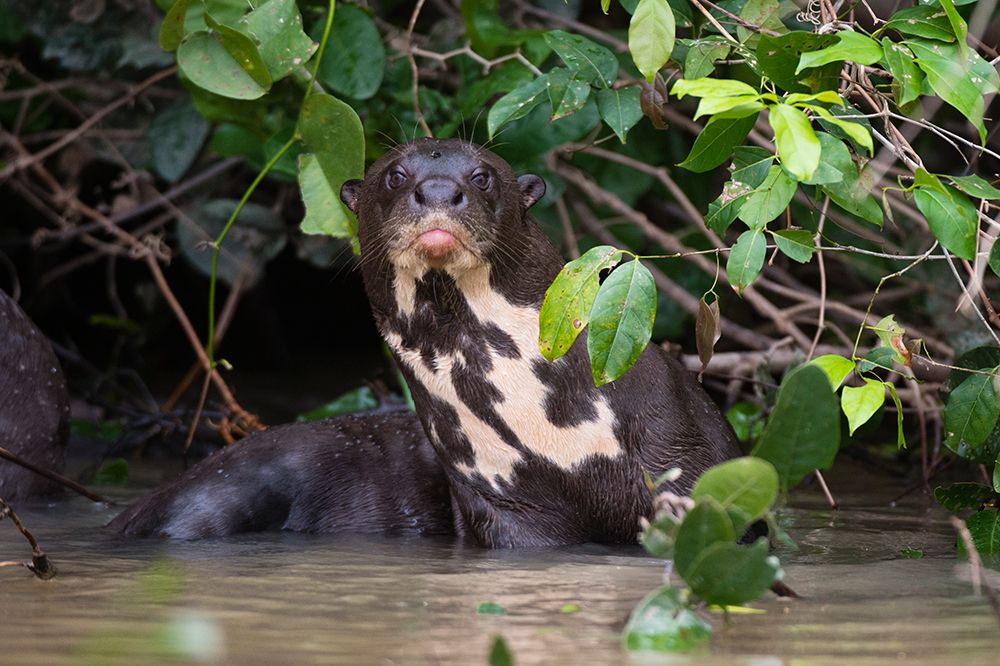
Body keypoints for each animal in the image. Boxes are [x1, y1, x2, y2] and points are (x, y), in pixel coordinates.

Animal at [110, 139, 741, 546]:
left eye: (483, 175)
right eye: (396, 174)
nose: (438, 190)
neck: (542, 427)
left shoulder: (679, 454)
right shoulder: (507, 509)